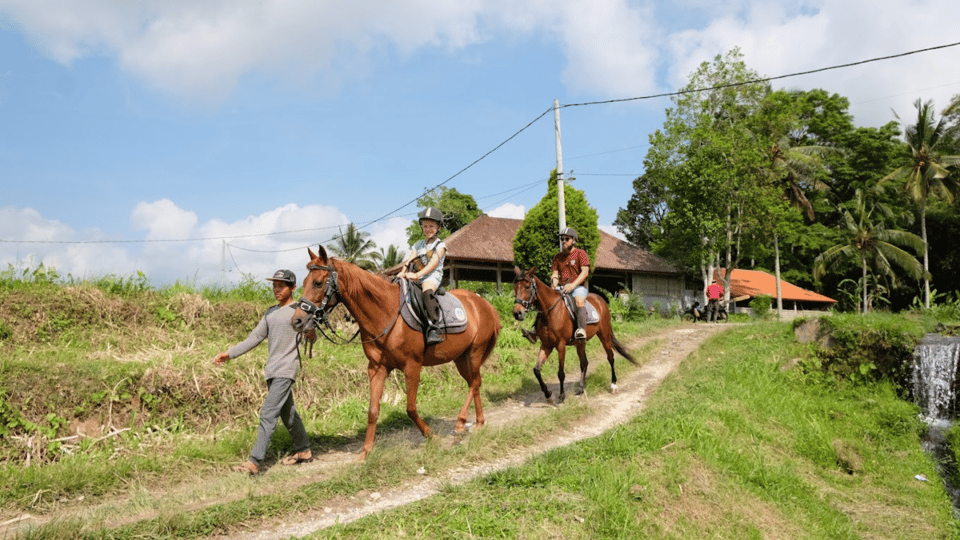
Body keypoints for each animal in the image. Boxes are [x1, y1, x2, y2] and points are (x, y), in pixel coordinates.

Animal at [291, 246, 501, 459]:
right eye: (304, 282)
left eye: (317, 283)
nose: (297, 321)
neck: (386, 313)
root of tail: (485, 305)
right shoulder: (377, 368)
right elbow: (373, 410)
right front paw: (366, 452)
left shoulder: (412, 366)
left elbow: (411, 408)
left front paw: (431, 436)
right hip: (461, 357)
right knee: (474, 383)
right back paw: (479, 422)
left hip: (475, 352)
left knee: (474, 383)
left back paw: (460, 422)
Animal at [512, 266, 637, 403]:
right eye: (515, 287)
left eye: (527, 286)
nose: (517, 313)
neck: (550, 312)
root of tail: (601, 300)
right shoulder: (546, 345)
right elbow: (536, 370)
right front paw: (548, 395)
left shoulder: (560, 345)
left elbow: (560, 372)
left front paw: (561, 396)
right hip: (580, 342)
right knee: (584, 362)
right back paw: (581, 389)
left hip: (604, 335)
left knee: (610, 357)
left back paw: (613, 385)